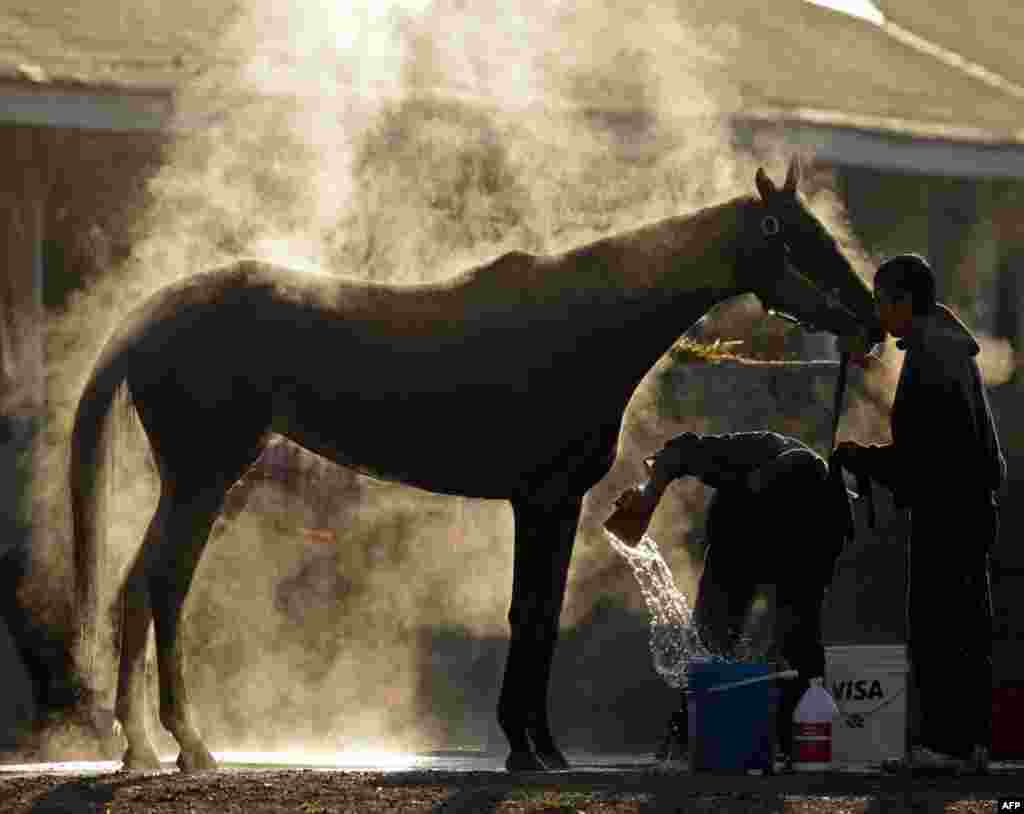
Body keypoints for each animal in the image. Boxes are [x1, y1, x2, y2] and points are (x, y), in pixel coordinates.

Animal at [70, 157, 880, 769]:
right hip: (202, 481)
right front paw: (523, 747)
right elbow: (529, 616)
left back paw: (142, 747)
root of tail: (156, 310)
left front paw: (543, 748)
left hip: (193, 484)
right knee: (164, 588)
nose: (870, 320)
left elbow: (542, 618)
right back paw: (186, 744)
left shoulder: (558, 506)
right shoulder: (542, 501)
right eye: (800, 238)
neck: (586, 326)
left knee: (139, 587)